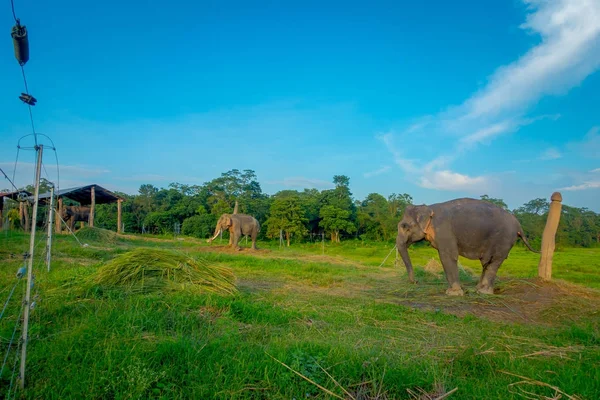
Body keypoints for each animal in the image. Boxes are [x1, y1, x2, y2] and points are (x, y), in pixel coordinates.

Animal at [394, 198, 540, 296]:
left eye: (405, 226)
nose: (416, 282)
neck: (428, 207)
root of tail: (519, 225)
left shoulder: (444, 231)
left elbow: (448, 256)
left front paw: (453, 293)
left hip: (504, 240)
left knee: (494, 262)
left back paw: (484, 292)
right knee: (487, 263)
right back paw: (477, 289)